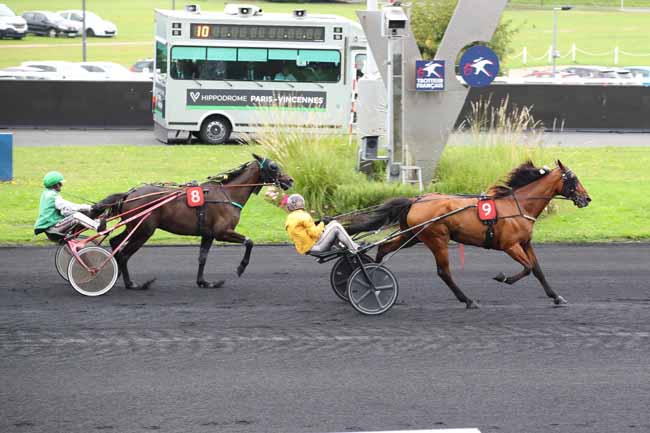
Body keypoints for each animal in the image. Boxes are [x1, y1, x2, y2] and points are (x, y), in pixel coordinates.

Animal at [93, 155, 292, 290]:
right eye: (274, 166)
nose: (290, 180)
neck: (227, 194)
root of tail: (129, 193)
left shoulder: (208, 234)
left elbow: (202, 257)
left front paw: (204, 282)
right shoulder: (222, 232)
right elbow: (249, 242)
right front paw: (241, 268)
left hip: (134, 227)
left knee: (115, 242)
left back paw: (117, 274)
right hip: (143, 230)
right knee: (123, 253)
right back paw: (132, 283)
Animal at [346, 161, 588, 308]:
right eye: (573, 179)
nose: (587, 198)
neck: (517, 206)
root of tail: (416, 199)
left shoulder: (525, 243)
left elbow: (537, 270)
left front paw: (556, 297)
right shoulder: (509, 245)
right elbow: (527, 268)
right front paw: (503, 277)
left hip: (412, 236)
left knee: (385, 247)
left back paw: (373, 276)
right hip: (436, 239)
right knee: (444, 272)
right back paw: (468, 300)